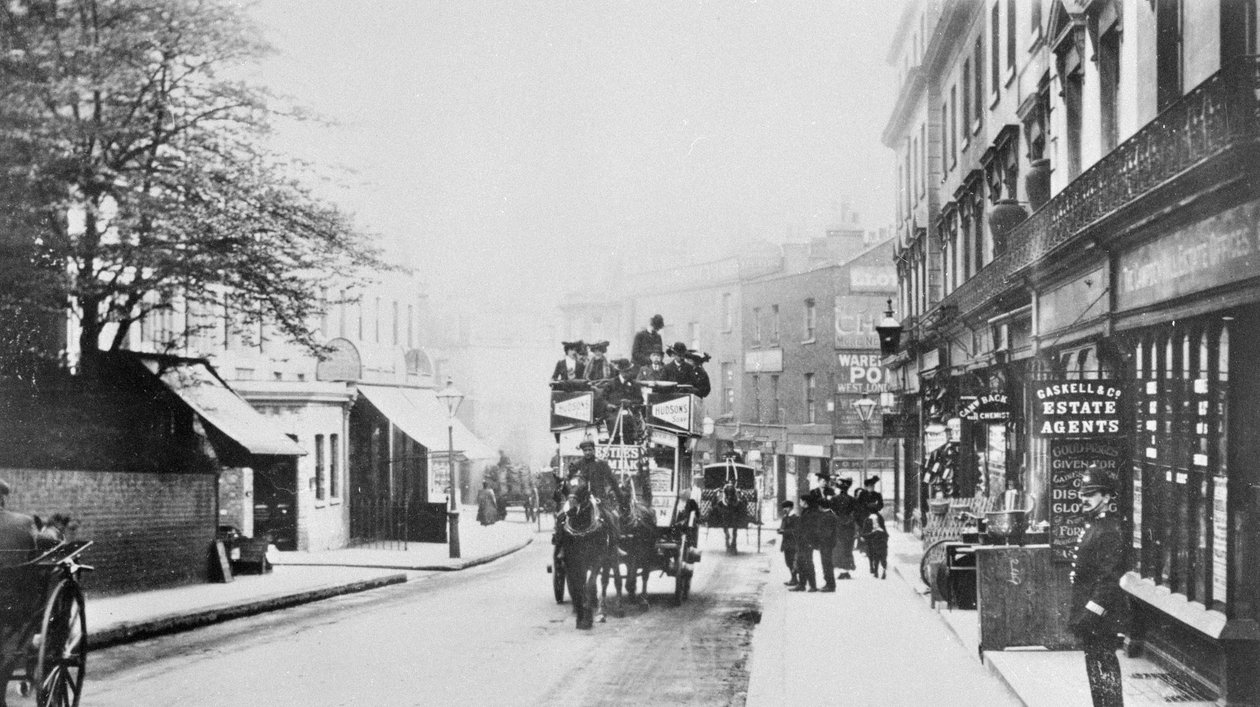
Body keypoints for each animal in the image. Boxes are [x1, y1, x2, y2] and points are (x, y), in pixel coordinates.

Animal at [561, 473, 619, 627]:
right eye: (565, 488)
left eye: (584, 490)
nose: (570, 510)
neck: (581, 528)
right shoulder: (574, 560)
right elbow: (578, 586)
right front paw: (579, 616)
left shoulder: (597, 559)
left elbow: (589, 584)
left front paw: (587, 617)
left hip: (610, 557)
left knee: (606, 581)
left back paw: (603, 611)